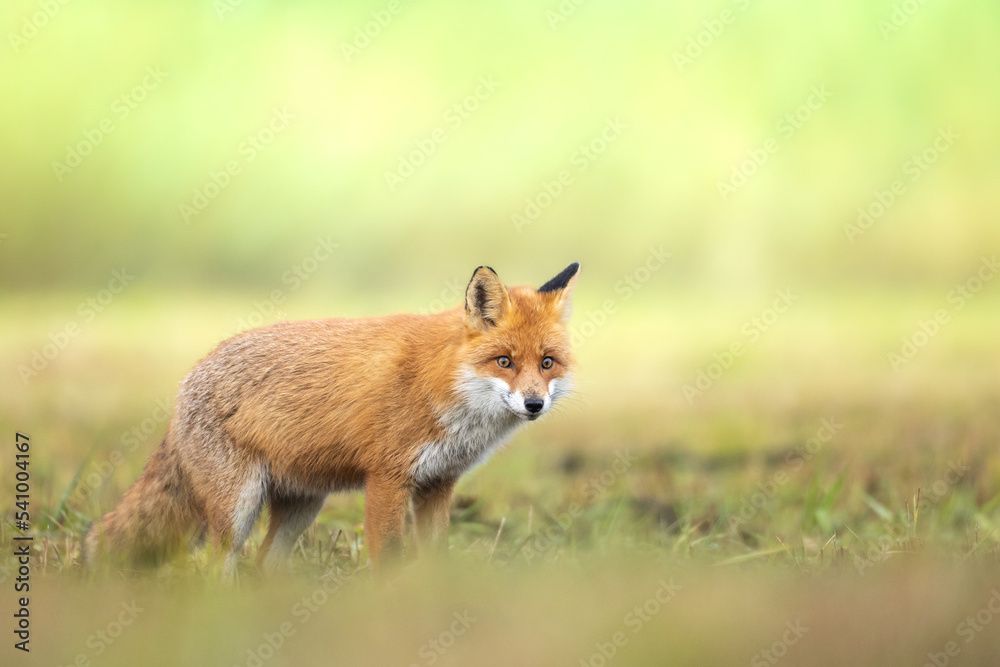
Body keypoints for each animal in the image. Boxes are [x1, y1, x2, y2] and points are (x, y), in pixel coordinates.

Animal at [86, 262, 580, 576]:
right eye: (504, 362)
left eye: (547, 363)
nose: (534, 404)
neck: (443, 387)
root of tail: (186, 381)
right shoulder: (387, 479)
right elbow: (387, 561)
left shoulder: (439, 485)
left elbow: (433, 559)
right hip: (237, 509)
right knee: (213, 571)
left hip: (303, 507)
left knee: (264, 565)